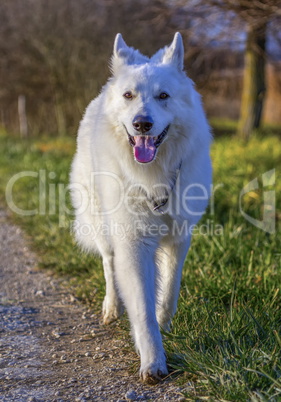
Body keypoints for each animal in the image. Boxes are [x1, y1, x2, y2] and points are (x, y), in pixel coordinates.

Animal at [70, 33, 210, 384]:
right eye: (129, 95)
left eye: (163, 96)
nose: (142, 124)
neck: (153, 176)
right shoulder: (132, 245)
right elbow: (141, 310)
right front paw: (153, 361)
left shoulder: (179, 237)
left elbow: (170, 287)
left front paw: (164, 321)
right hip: (102, 226)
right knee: (108, 263)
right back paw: (111, 308)